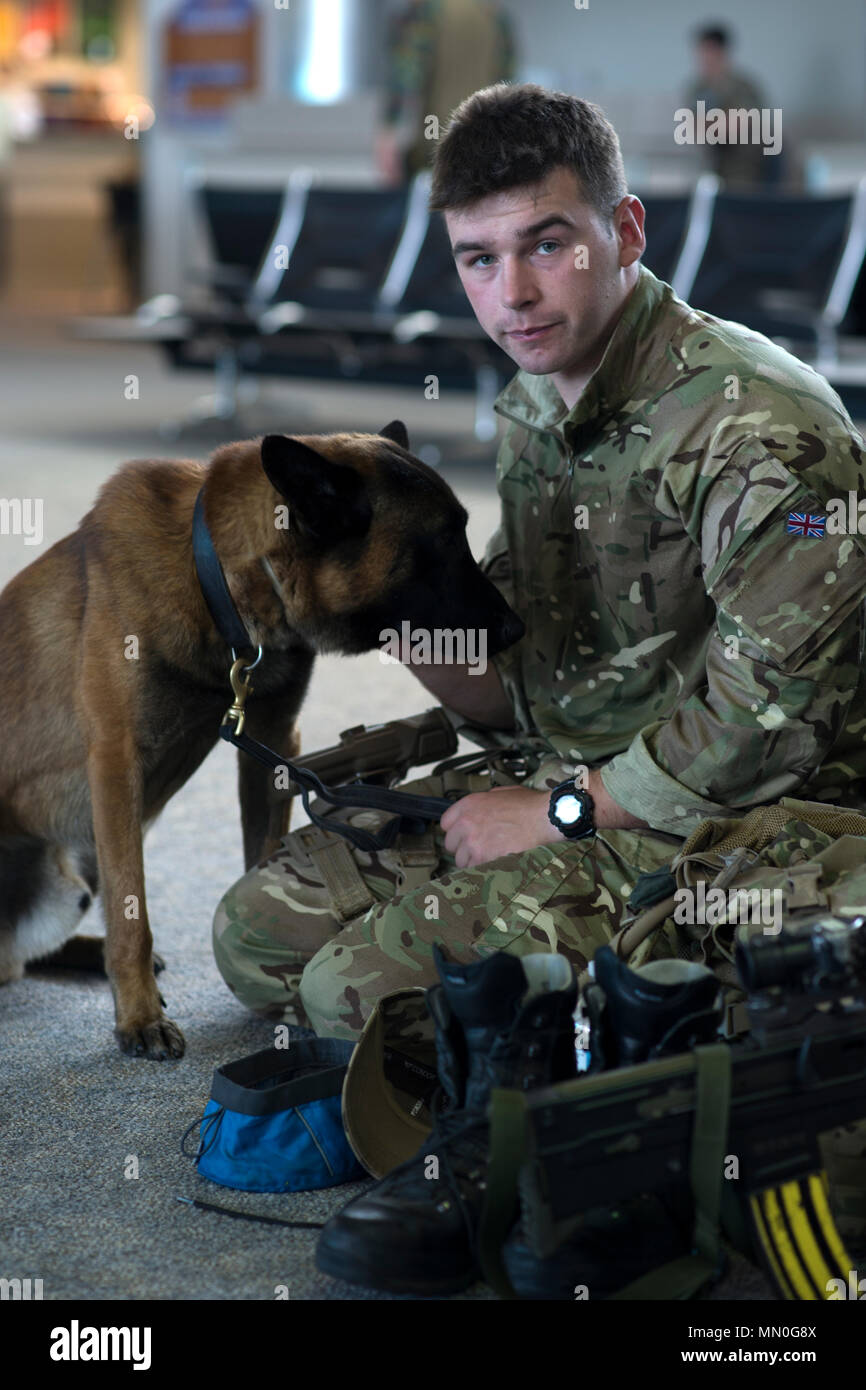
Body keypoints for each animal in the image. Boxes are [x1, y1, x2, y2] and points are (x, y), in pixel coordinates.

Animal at [0, 417, 522, 1056]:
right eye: (446, 541)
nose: (518, 628)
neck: (213, 577)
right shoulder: (117, 764)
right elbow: (132, 914)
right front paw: (138, 1015)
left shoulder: (270, 746)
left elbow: (258, 853)